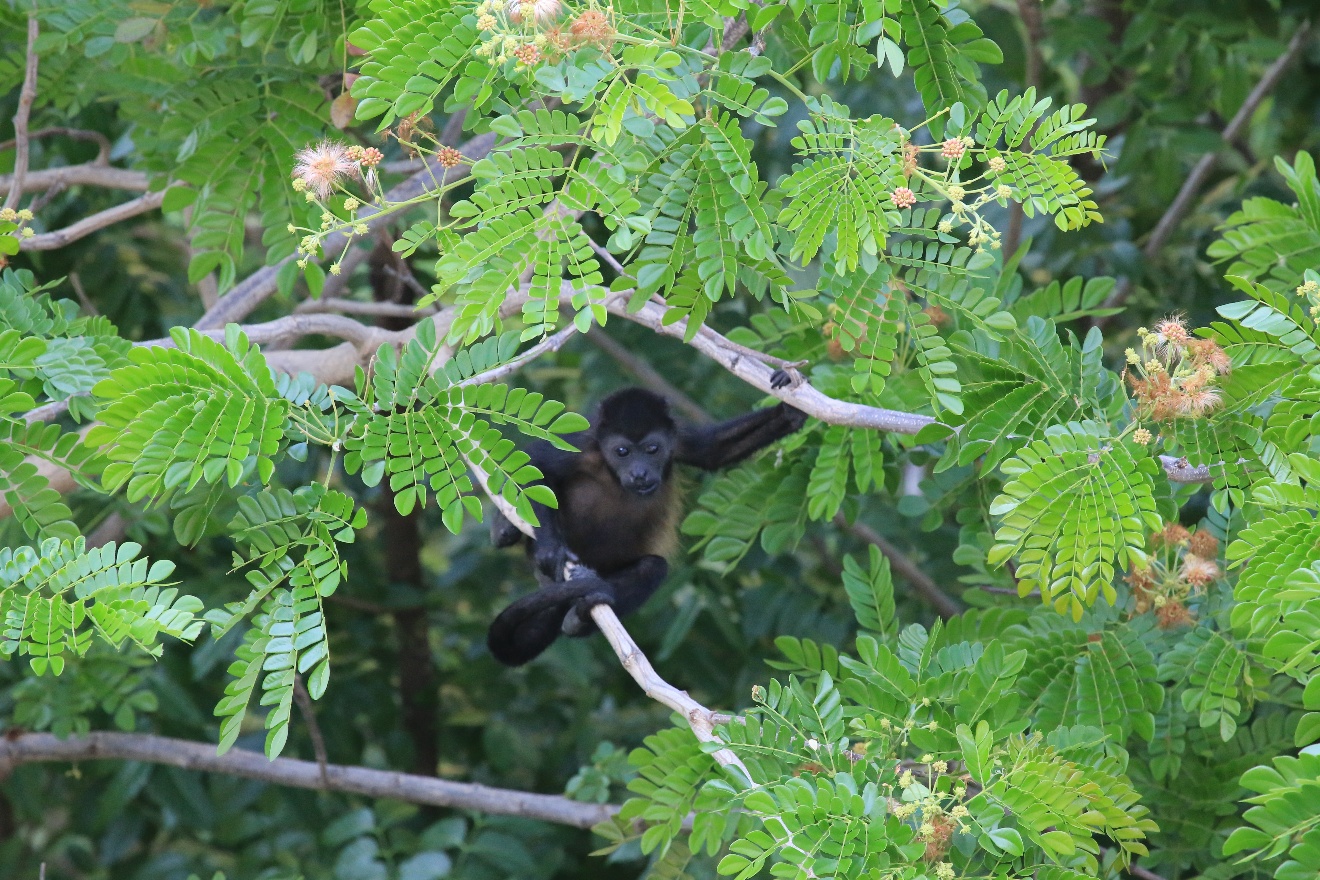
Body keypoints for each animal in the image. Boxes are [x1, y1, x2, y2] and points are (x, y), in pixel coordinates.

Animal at [486, 382, 808, 666]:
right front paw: (550, 549)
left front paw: (790, 411)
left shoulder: (677, 438)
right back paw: (505, 529)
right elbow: (537, 466)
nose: (640, 473)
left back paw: (579, 618)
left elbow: (713, 450)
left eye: (652, 449)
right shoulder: (580, 443)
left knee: (652, 568)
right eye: (623, 452)